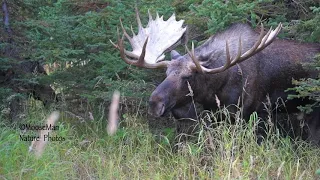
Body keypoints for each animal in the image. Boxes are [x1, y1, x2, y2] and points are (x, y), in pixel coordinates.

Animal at [110, 8, 320, 143]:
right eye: (166, 73)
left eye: (188, 77)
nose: (155, 103)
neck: (215, 89)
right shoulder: (216, 113)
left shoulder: (249, 112)